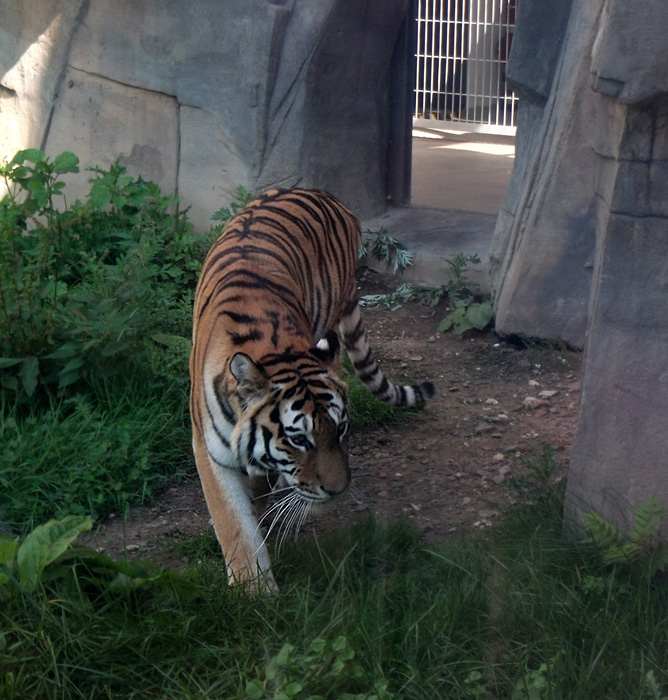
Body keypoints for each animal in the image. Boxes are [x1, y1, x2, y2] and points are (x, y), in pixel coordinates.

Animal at [190, 186, 436, 592]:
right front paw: (254, 593)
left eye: (341, 429)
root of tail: (322, 194)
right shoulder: (211, 452)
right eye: (298, 440)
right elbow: (235, 526)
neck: (273, 350)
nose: (337, 490)